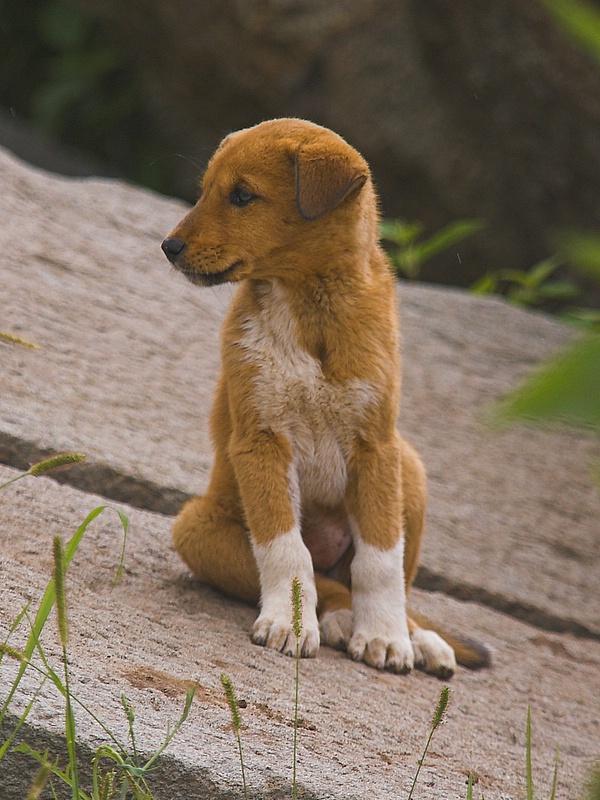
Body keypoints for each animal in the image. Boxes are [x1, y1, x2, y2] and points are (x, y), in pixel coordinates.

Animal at [162, 119, 490, 680]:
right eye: (205, 190)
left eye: (242, 195)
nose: (168, 246)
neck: (310, 308)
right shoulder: (261, 439)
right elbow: (286, 550)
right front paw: (289, 624)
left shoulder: (376, 447)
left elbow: (379, 562)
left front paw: (385, 637)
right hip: (196, 528)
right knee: (327, 579)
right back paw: (335, 620)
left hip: (410, 469)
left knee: (381, 581)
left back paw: (418, 638)